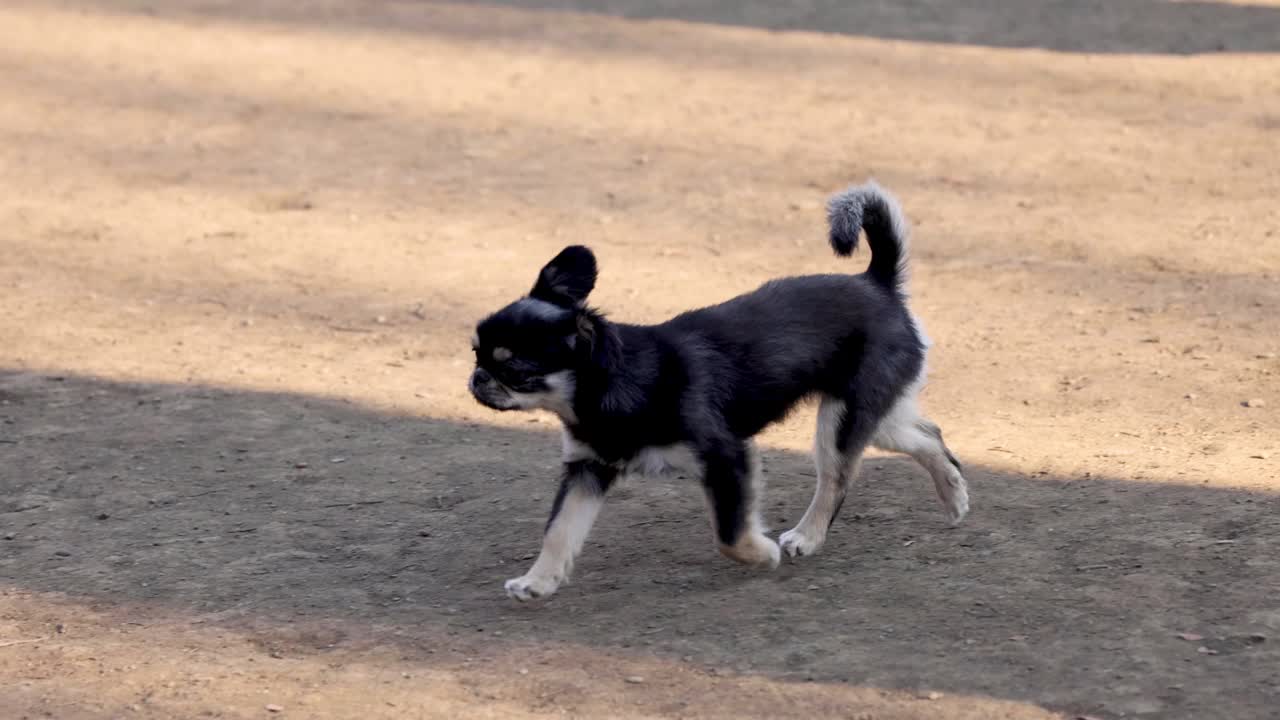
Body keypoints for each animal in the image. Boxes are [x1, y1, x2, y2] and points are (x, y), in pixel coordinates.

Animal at [471, 180, 967, 599]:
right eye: (476, 353)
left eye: (512, 365)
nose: (475, 378)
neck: (616, 385)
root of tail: (877, 282)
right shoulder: (587, 469)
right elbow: (559, 530)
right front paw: (538, 582)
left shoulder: (725, 456)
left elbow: (728, 533)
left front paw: (761, 554)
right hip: (873, 414)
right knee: (928, 436)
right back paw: (954, 495)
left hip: (842, 421)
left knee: (836, 478)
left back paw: (807, 536)